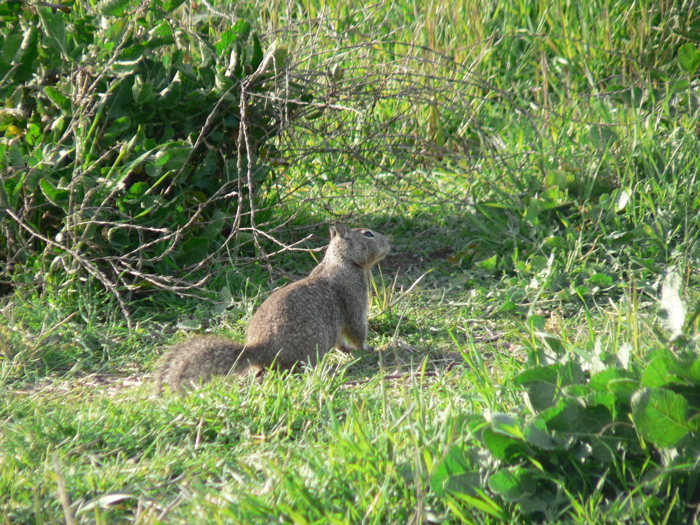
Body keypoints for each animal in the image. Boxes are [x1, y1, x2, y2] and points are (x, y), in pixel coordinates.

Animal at [155, 222, 392, 392]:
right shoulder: (354, 301)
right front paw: (367, 349)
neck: (342, 262)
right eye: (368, 234)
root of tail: (260, 348)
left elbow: (340, 341)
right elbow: (356, 330)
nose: (389, 241)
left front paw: (348, 351)